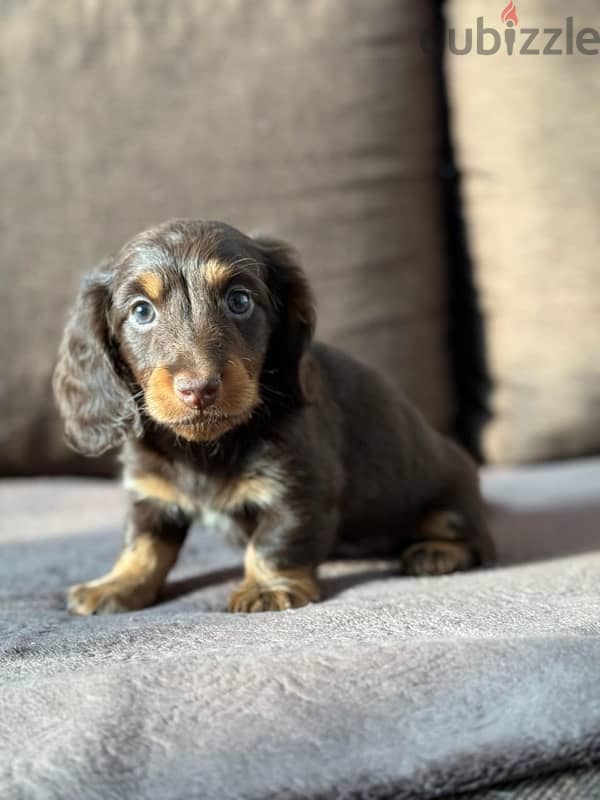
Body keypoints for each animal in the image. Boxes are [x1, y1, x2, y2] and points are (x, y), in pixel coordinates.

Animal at [52, 219, 492, 612]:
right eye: (142, 311)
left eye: (239, 301)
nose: (199, 388)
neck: (206, 448)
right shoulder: (152, 494)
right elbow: (143, 544)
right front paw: (117, 584)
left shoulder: (298, 488)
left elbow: (274, 542)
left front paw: (267, 588)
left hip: (449, 497)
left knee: (473, 537)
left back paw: (436, 552)